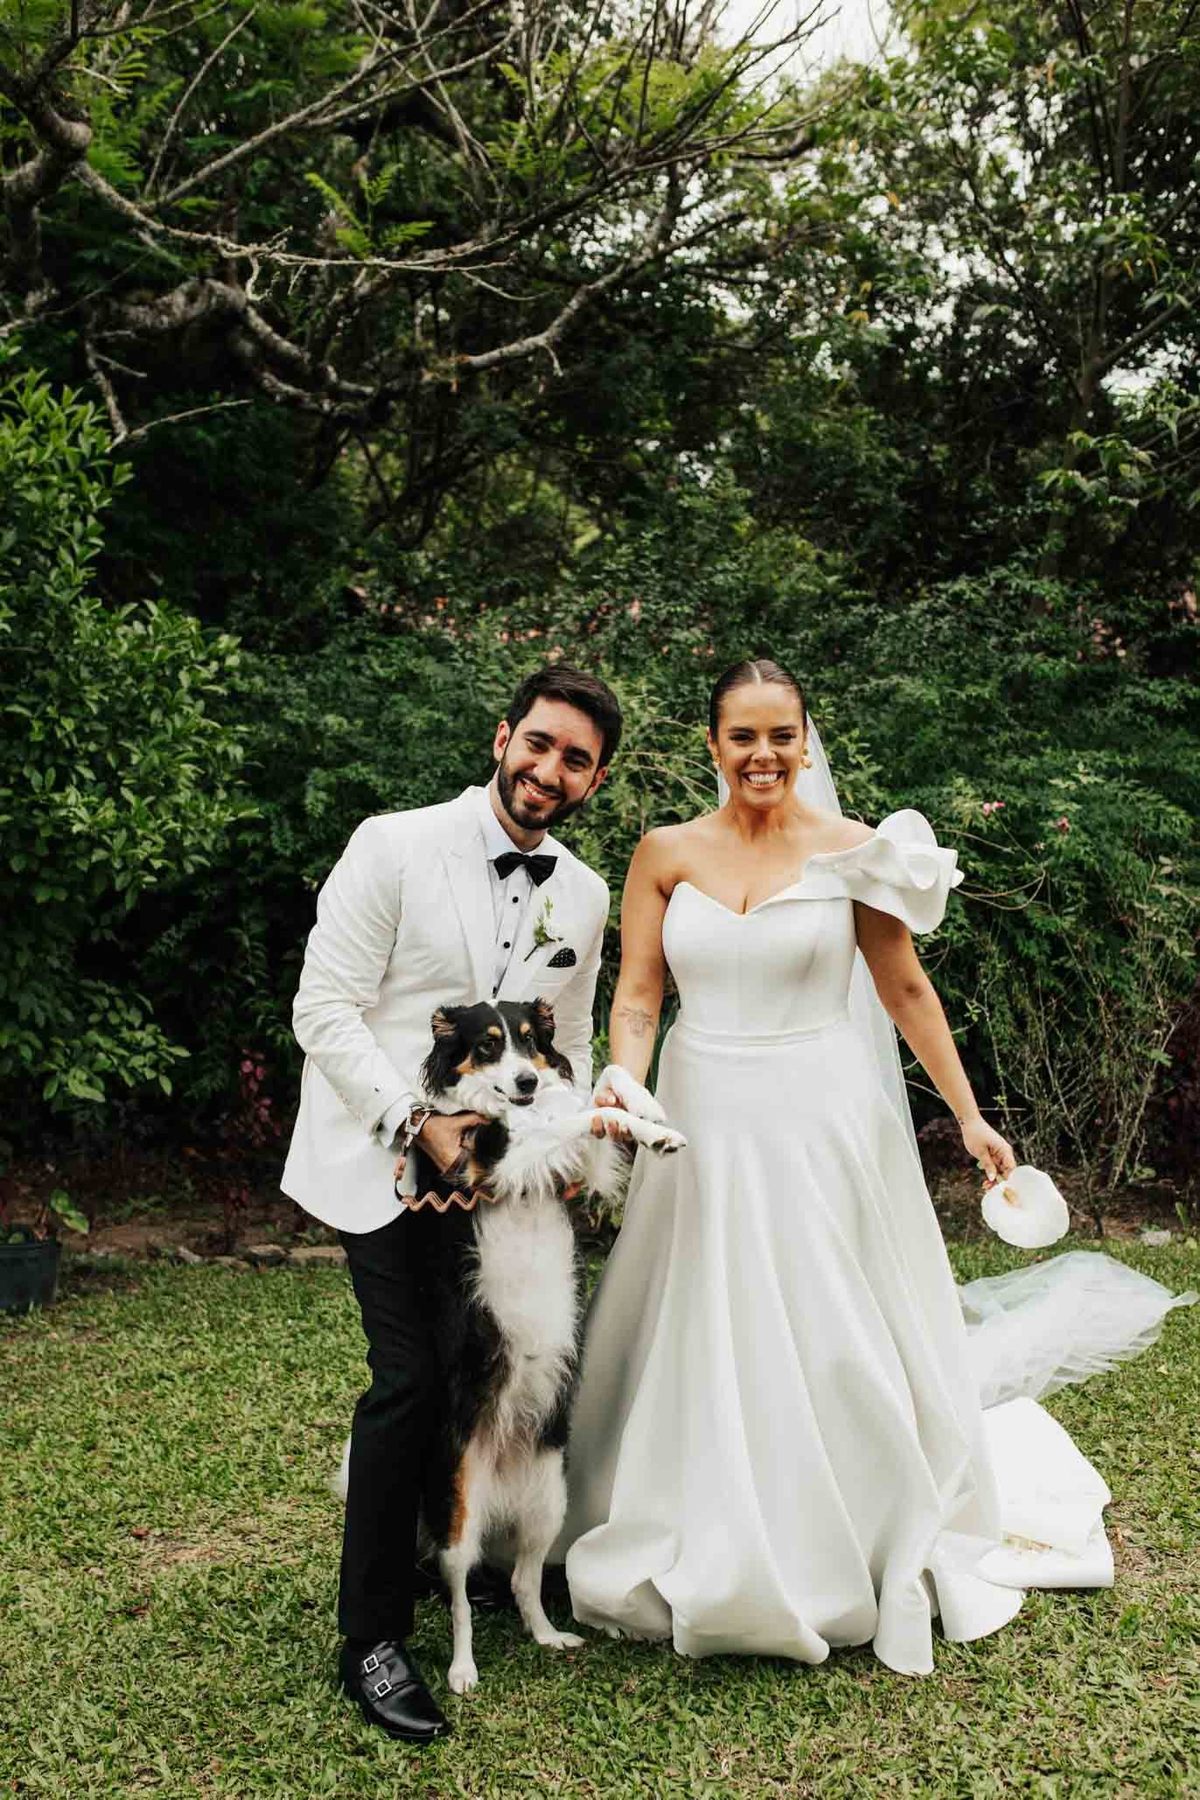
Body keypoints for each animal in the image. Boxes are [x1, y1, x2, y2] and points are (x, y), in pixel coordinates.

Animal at [401, 996, 684, 1695]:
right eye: (487, 1044)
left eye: (531, 1041)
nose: (527, 1080)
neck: (513, 1108)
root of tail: (500, 1478)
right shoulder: (505, 1159)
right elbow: (582, 1114)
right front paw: (640, 1124)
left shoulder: (576, 1166)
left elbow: (603, 1080)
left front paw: (651, 1113)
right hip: (458, 1516)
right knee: (459, 1602)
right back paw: (463, 1671)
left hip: (549, 1504)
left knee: (525, 1585)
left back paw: (549, 1636)